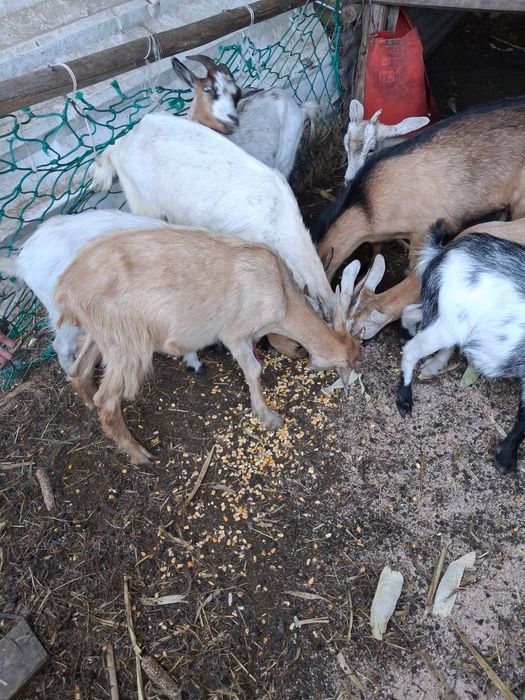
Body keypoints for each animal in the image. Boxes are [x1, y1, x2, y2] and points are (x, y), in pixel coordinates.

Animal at [55, 227, 362, 464]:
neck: (283, 298)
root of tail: (65, 289)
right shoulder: (236, 332)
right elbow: (254, 370)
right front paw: (268, 416)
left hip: (103, 334)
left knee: (80, 369)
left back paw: (88, 403)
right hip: (128, 342)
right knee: (107, 399)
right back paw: (140, 453)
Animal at [397, 220, 525, 475]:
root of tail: (444, 252)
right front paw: (505, 459)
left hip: (439, 311)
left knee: (409, 313)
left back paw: (429, 360)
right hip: (449, 324)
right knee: (413, 349)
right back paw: (405, 398)